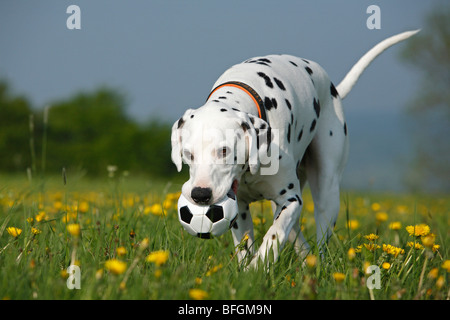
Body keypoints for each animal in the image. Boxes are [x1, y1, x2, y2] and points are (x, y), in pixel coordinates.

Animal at [171, 30, 418, 266]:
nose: (200, 194)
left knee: (319, 236)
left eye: (224, 151)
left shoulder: (291, 200)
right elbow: (246, 247)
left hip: (327, 192)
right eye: (188, 155)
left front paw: (258, 266)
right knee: (297, 236)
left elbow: (274, 234)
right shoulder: (239, 207)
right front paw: (247, 270)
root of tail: (332, 87)